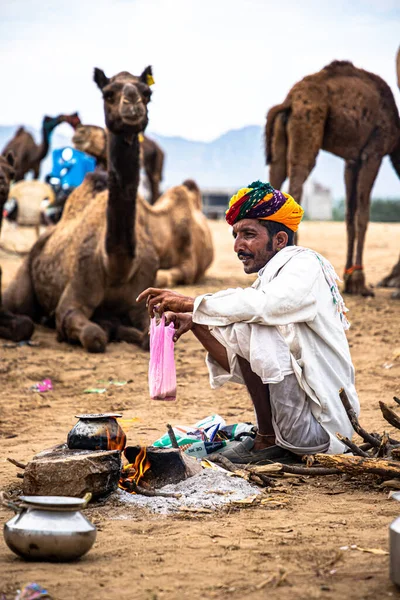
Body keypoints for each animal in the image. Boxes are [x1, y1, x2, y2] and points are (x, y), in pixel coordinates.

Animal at [2, 67, 212, 352]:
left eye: (147, 92)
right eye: (108, 93)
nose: (132, 103)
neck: (116, 265)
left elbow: (147, 336)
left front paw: (121, 329)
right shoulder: (72, 302)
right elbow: (93, 336)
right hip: (23, 277)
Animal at [266, 60, 400, 296]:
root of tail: (288, 101)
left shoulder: (352, 161)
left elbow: (349, 216)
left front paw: (349, 278)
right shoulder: (373, 152)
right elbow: (363, 215)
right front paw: (360, 281)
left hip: (282, 135)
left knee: (276, 176)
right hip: (307, 127)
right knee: (296, 183)